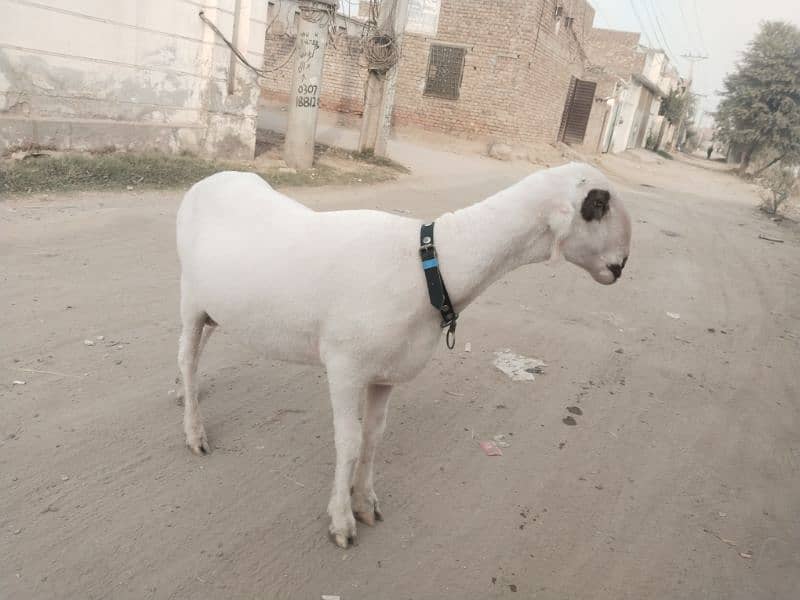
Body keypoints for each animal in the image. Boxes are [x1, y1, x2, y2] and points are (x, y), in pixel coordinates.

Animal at [175, 162, 632, 548]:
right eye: (598, 204)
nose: (621, 267)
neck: (431, 265)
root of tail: (212, 178)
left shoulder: (385, 373)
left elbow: (374, 437)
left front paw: (365, 503)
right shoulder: (344, 366)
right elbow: (349, 441)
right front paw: (341, 521)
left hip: (213, 304)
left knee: (196, 346)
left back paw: (181, 394)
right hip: (191, 296)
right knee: (188, 356)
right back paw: (195, 431)